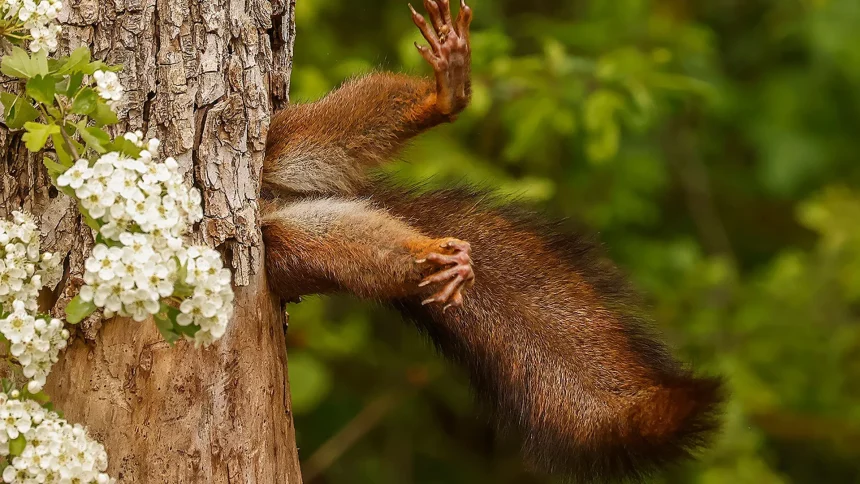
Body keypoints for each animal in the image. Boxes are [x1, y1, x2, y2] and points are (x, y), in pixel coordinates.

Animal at [258, 1, 724, 482]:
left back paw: (445, 97)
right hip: (289, 245)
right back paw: (430, 258)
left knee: (337, 126)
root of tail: (276, 199)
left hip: (286, 141)